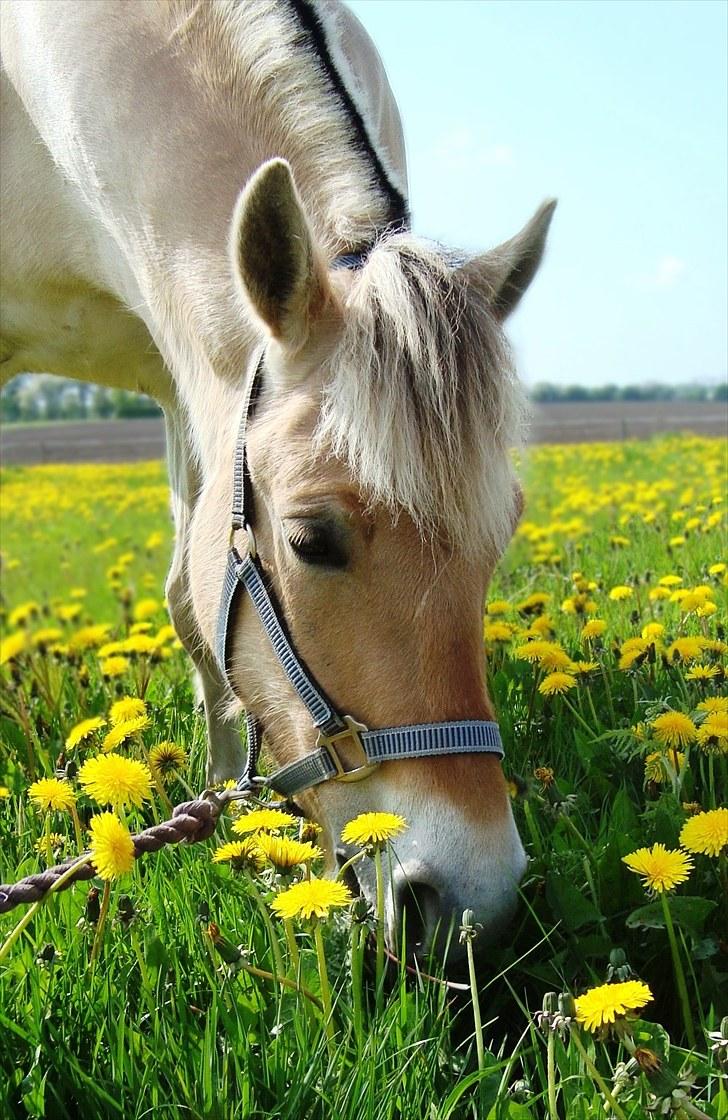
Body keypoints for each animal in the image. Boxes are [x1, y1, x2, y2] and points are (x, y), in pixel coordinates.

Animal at [1, 0, 555, 963]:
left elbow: (192, 604)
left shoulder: (189, 372)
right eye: (309, 540)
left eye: (501, 540)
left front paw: (229, 808)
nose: (471, 906)